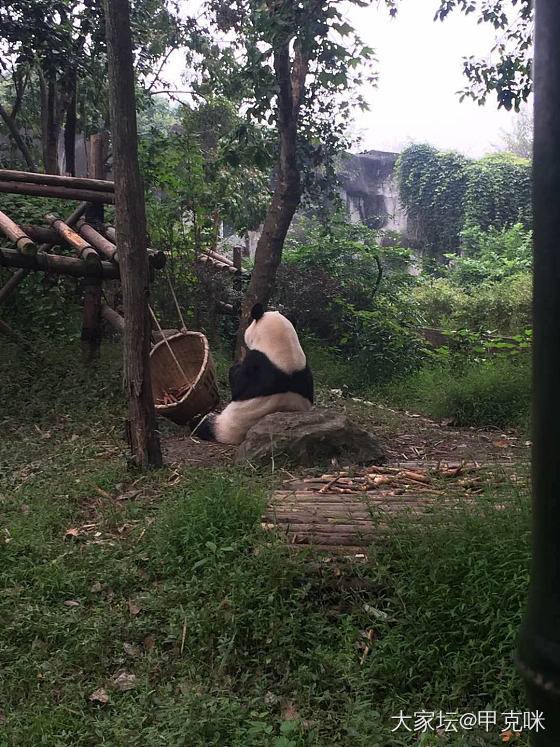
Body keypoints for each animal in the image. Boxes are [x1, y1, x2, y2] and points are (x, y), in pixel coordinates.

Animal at [195, 304, 312, 444]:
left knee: (203, 423)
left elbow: (238, 385)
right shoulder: (304, 369)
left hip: (223, 426)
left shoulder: (256, 364)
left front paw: (235, 368)